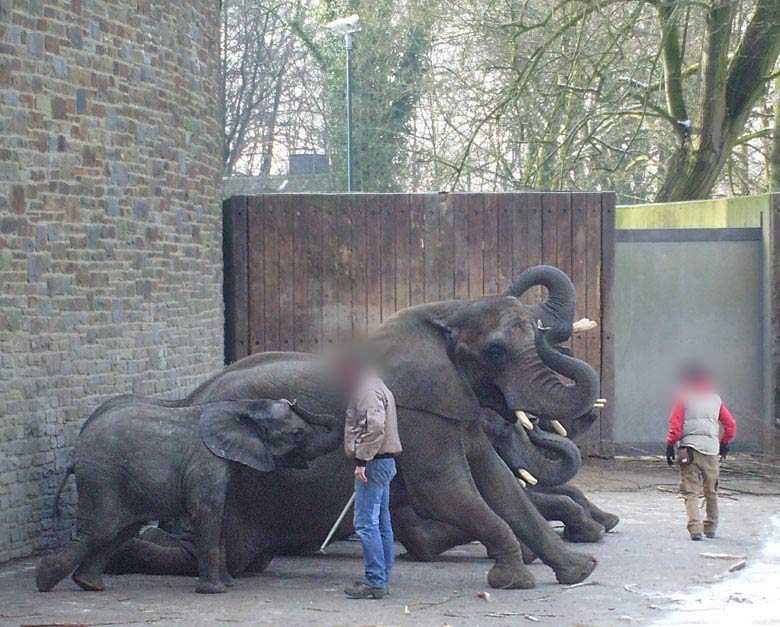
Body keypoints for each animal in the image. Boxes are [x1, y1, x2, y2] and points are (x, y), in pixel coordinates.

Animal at [36, 400, 340, 596]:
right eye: (297, 433)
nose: (292, 400)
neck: (241, 410)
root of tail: (75, 453)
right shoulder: (207, 463)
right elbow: (209, 513)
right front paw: (215, 591)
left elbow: (221, 516)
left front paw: (228, 584)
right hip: (103, 476)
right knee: (103, 529)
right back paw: (45, 578)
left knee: (123, 531)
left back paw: (89, 585)